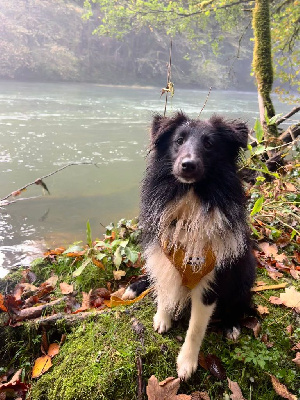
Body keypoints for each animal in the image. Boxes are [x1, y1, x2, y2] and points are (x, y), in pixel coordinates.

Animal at [122, 112, 255, 382]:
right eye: (179, 140)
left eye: (209, 144)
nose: (188, 165)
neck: (191, 198)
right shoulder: (164, 254)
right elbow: (164, 287)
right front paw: (162, 317)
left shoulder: (211, 280)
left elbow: (195, 327)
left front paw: (186, 363)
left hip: (244, 273)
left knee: (239, 300)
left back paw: (232, 325)